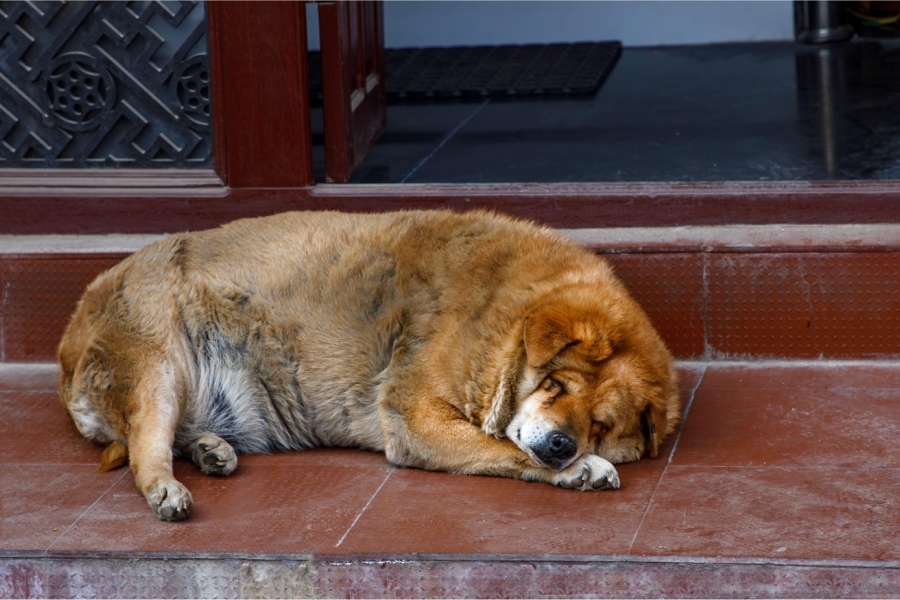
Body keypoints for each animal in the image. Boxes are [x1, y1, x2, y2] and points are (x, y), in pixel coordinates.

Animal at [59, 211, 680, 520]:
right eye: (554, 384)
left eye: (601, 423)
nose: (561, 445)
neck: (501, 316)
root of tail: (67, 342)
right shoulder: (415, 417)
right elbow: (505, 449)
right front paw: (579, 470)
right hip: (156, 369)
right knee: (144, 450)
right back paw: (167, 488)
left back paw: (211, 449)